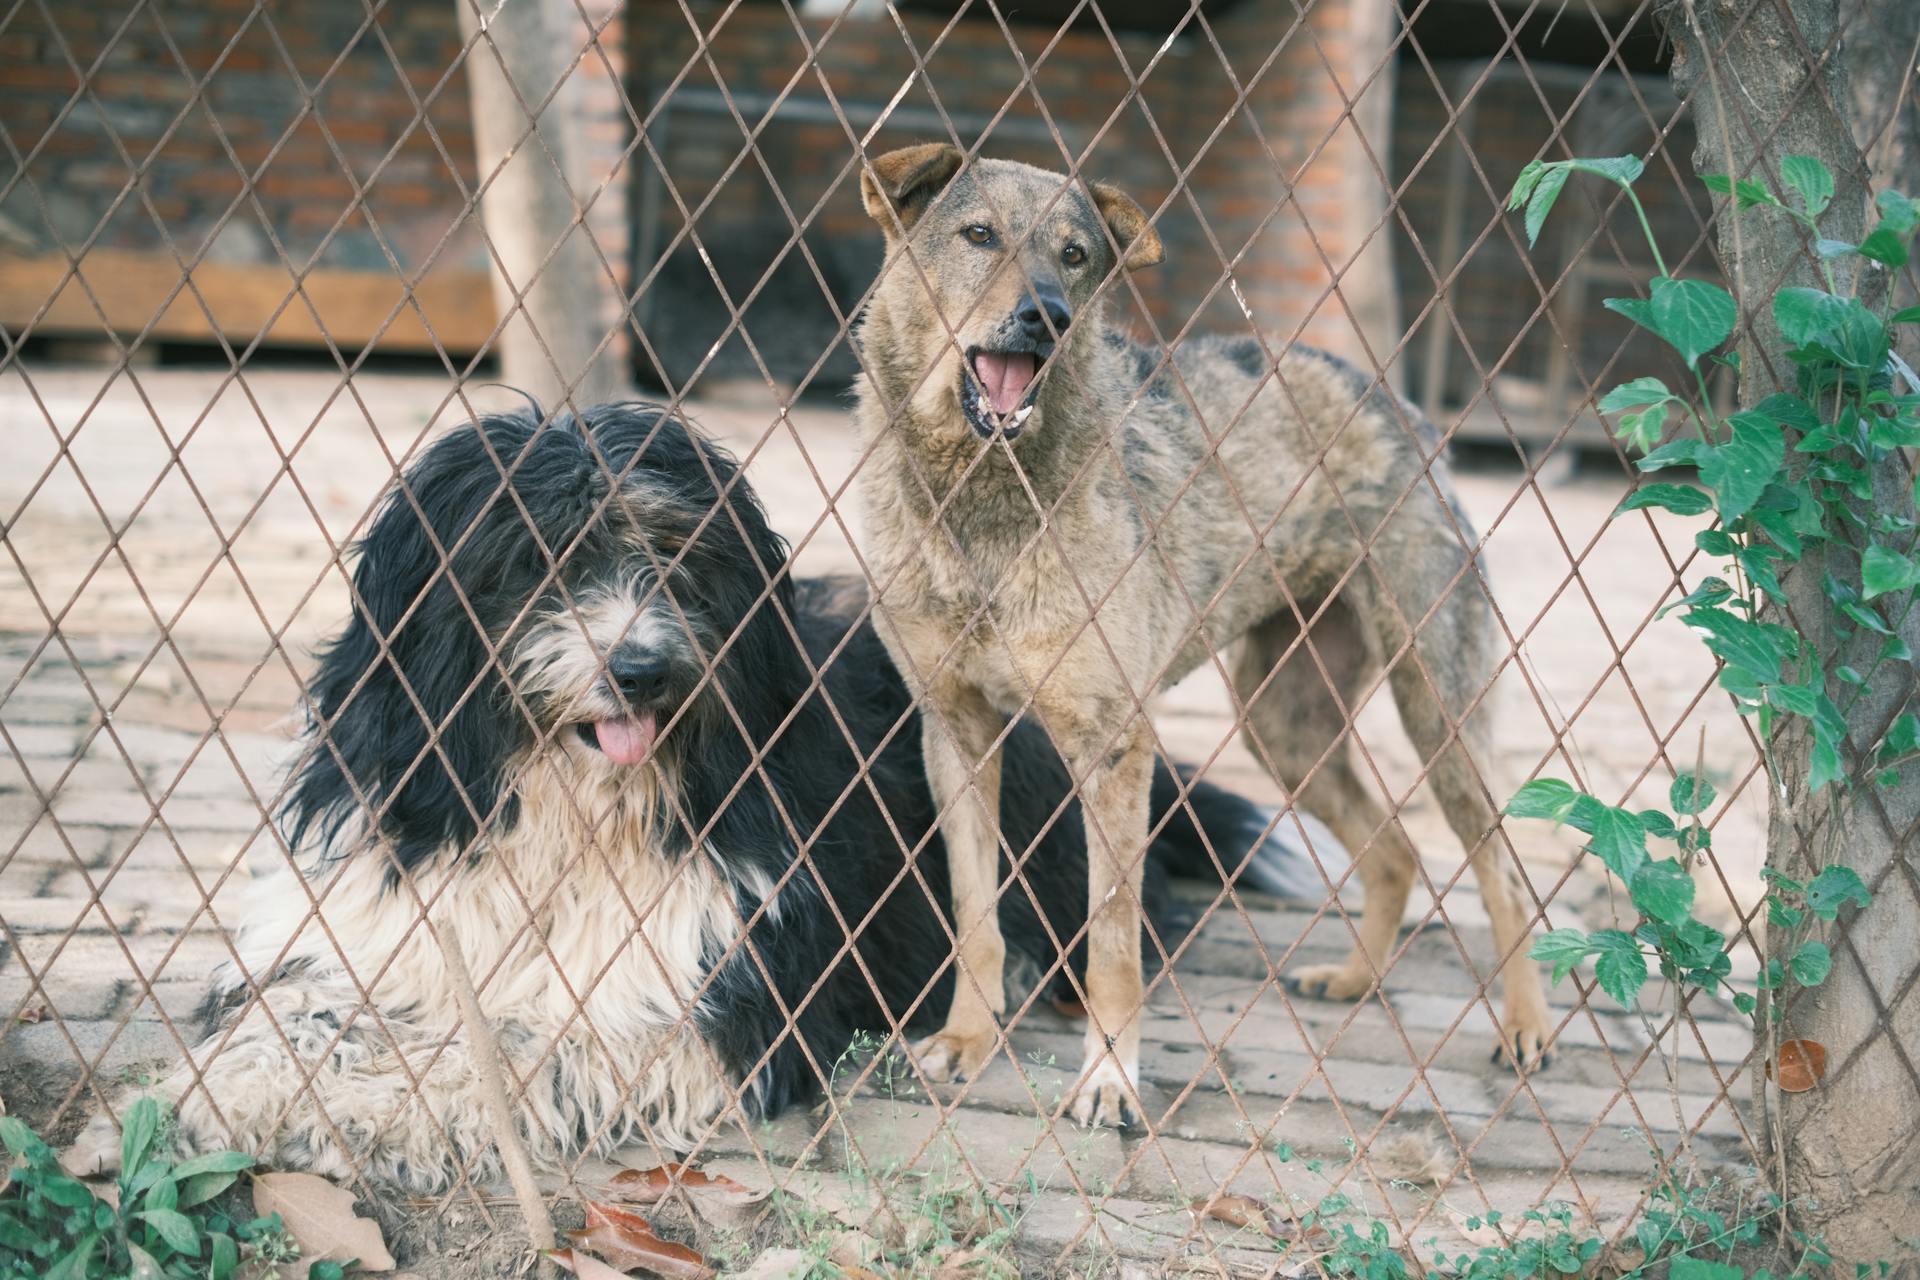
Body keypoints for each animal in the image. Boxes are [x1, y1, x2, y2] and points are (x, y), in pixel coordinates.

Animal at [78, 401, 1336, 1189]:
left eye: (676, 554)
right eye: (537, 558)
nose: (638, 667)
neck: (569, 809)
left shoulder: (719, 988)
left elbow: (522, 1042)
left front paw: (374, 1110)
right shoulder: (372, 913)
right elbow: (296, 1011)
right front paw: (200, 1099)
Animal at [852, 144, 1543, 1128]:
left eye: (1075, 256)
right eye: (978, 235)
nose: (1048, 317)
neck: (981, 496)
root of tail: (1393, 399)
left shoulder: (1113, 747)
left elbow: (1112, 944)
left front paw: (1109, 1081)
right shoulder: (957, 734)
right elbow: (976, 918)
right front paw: (965, 1043)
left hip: (1437, 715)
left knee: (1505, 874)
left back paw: (1527, 1029)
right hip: (1282, 726)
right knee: (1397, 851)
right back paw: (1354, 980)